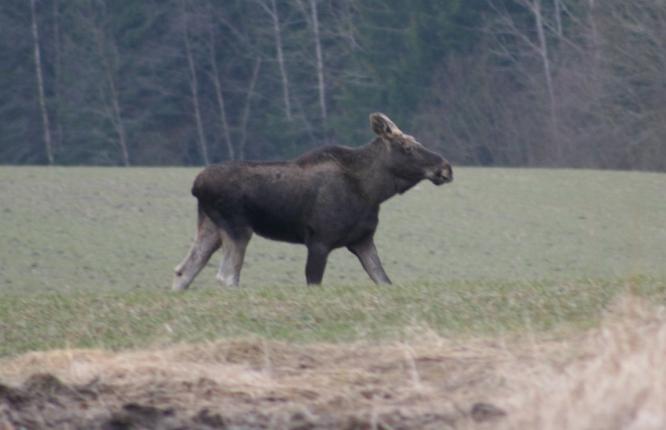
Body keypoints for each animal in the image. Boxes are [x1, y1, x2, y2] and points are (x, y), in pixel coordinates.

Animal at [171, 112, 452, 290]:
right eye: (407, 147)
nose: (446, 168)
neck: (373, 191)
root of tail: (196, 185)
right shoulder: (319, 241)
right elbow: (314, 283)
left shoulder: (362, 240)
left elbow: (384, 281)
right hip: (238, 228)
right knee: (227, 276)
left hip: (211, 227)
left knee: (184, 271)